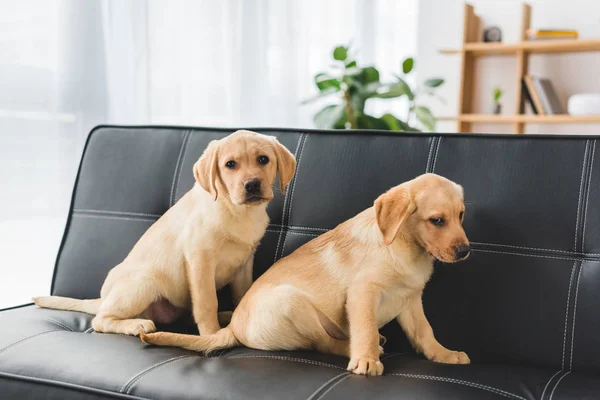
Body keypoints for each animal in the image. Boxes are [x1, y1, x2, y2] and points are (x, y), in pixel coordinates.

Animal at [32, 131, 296, 338]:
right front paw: (212, 335)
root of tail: (104, 297)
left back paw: (227, 315)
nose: (252, 184)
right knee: (101, 320)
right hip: (142, 284)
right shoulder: (199, 259)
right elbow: (207, 302)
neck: (237, 210)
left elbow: (242, 294)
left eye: (263, 159)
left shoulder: (244, 263)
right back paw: (136, 324)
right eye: (230, 164)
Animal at [142, 174, 474, 376]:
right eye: (437, 220)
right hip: (292, 302)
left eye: (460, 216)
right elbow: (364, 328)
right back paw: (353, 347)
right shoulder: (362, 294)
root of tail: (233, 327)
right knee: (323, 344)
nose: (465, 251)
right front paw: (366, 359)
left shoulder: (410, 299)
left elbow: (424, 332)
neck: (406, 247)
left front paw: (442, 353)